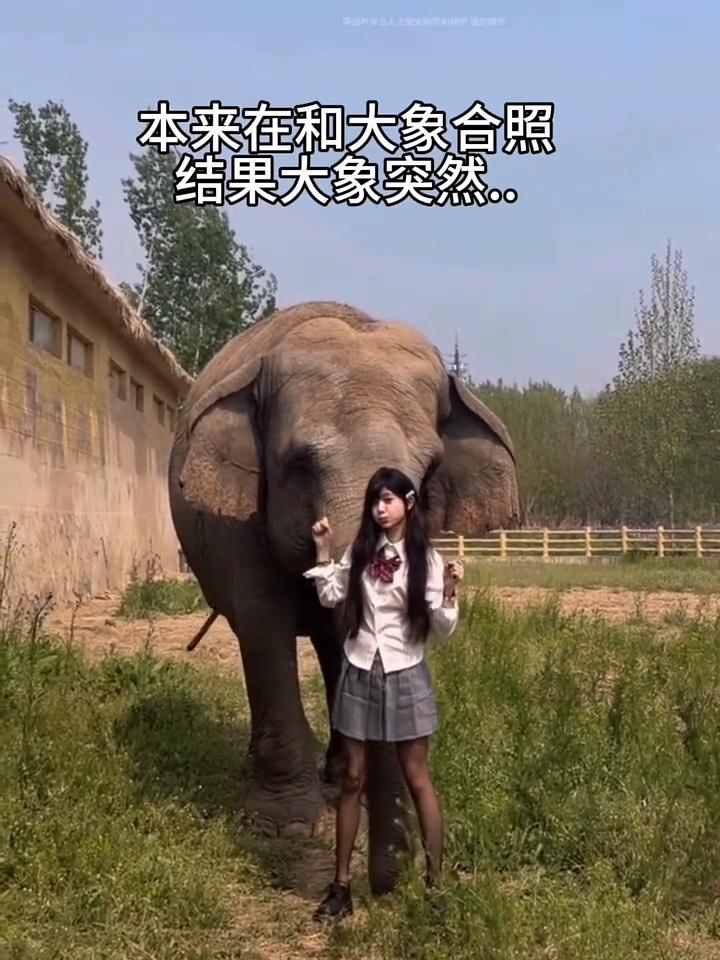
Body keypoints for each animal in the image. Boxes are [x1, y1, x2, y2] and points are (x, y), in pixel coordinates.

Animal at [168, 300, 519, 895]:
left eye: (428, 473)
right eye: (301, 463)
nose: (388, 883)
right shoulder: (242, 523)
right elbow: (263, 626)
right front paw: (284, 827)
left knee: (334, 649)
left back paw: (334, 774)